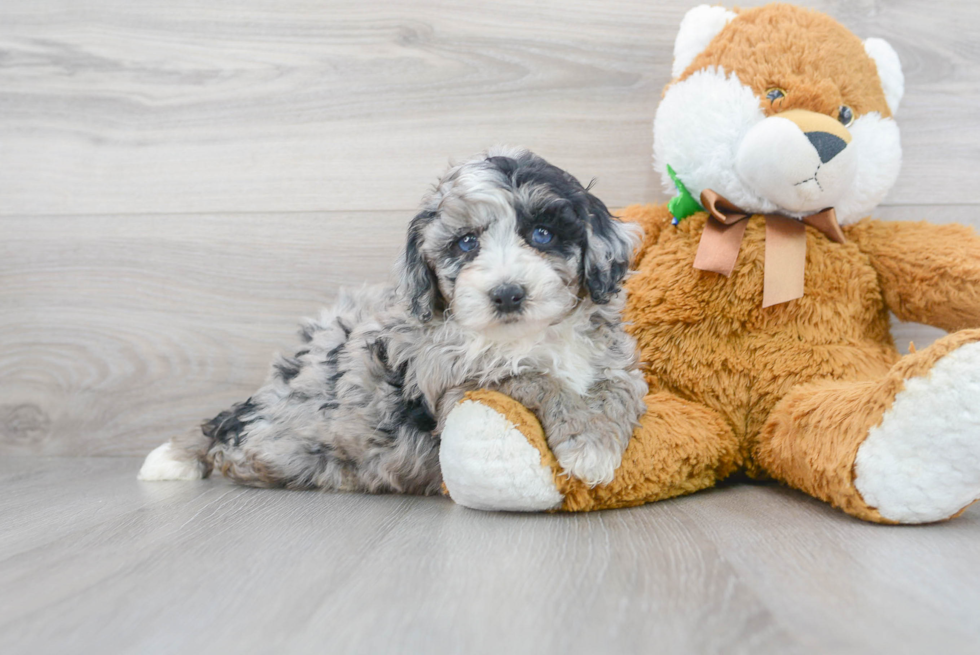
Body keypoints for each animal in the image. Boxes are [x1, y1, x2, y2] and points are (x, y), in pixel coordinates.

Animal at [136, 147, 644, 498]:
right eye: (465, 243)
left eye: (542, 234)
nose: (507, 294)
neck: (528, 337)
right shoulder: (458, 383)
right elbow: (536, 379)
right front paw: (584, 447)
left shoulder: (614, 363)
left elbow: (616, 391)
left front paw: (596, 446)